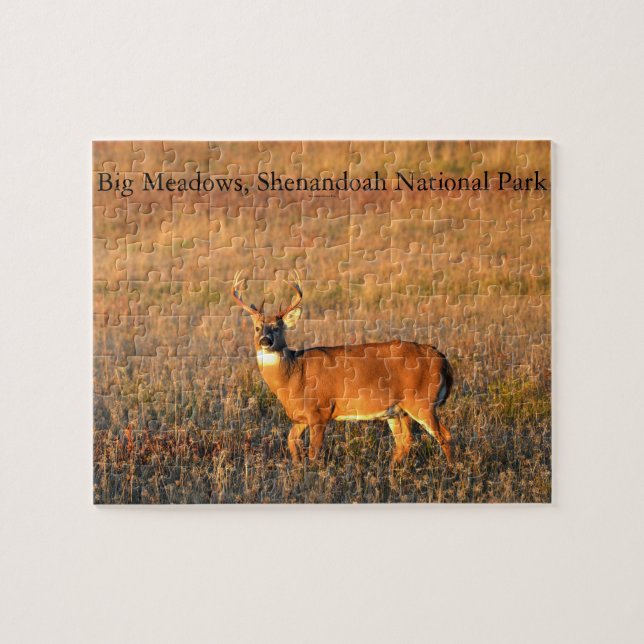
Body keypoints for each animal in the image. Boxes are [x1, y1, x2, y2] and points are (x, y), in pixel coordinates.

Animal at [231, 271, 454, 467]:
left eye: (278, 328)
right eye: (257, 327)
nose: (265, 341)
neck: (294, 376)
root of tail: (441, 358)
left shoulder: (320, 411)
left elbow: (314, 453)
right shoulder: (301, 417)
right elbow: (291, 441)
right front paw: (296, 470)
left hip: (422, 402)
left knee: (444, 435)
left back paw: (452, 471)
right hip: (398, 411)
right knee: (405, 441)